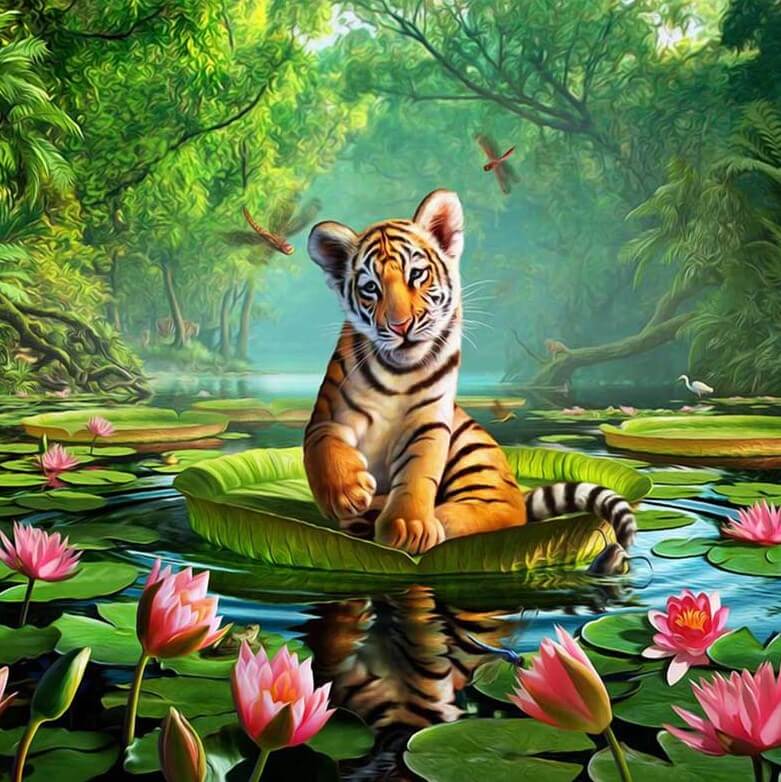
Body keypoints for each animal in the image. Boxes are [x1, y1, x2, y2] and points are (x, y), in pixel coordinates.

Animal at [304, 189, 636, 563]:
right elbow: (323, 446)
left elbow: (418, 472)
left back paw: (431, 518)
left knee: (504, 513)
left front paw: (409, 527)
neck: (398, 373)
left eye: (416, 275)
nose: (400, 326)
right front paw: (346, 494)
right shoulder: (328, 415)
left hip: (473, 451)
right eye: (371, 287)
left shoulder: (429, 423)